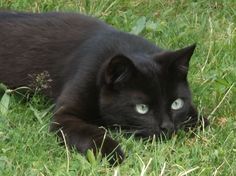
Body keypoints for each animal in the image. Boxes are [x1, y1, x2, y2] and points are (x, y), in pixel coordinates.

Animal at [0, 11, 208, 164]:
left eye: (176, 104)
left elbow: (202, 120)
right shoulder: (65, 116)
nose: (167, 127)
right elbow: (92, 132)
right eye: (142, 108)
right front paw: (112, 153)